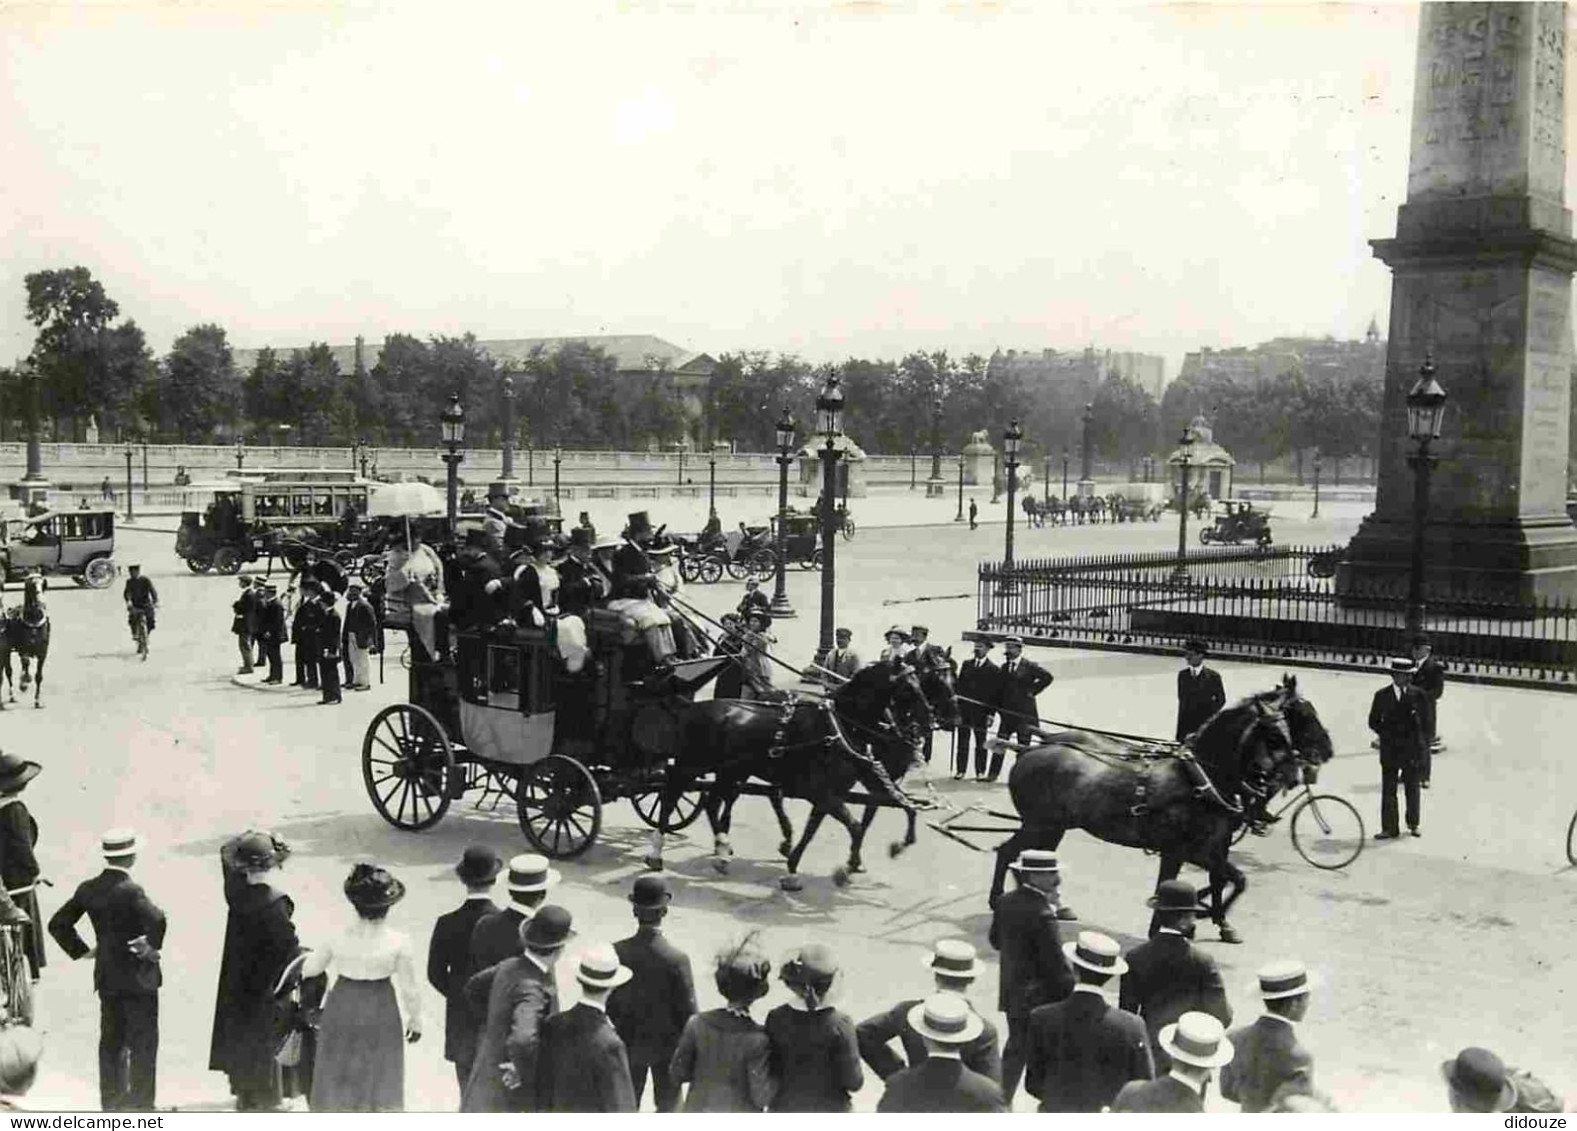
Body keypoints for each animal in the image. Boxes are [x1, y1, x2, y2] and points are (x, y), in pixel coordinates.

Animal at [646, 656, 952, 889]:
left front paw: (795, 867)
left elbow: (818, 829)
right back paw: (658, 851)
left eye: (920, 684)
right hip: (691, 765)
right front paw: (846, 867)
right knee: (670, 795)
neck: (841, 726)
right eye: (908, 688)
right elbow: (854, 826)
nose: (930, 720)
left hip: (731, 772)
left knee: (713, 802)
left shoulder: (833, 793)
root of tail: (695, 706)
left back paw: (722, 851)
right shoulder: (823, 792)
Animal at [984, 678, 1330, 946]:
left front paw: (1217, 919)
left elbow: (1229, 879)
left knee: (1029, 859)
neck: (1200, 777)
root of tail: (1032, 747)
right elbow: (1185, 883)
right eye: (1275, 735)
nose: (1297, 774)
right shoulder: (1182, 850)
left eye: (1289, 730)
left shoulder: (1214, 847)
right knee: (1008, 853)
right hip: (1040, 824)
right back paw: (1002, 899)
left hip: (1053, 827)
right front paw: (1178, 922)